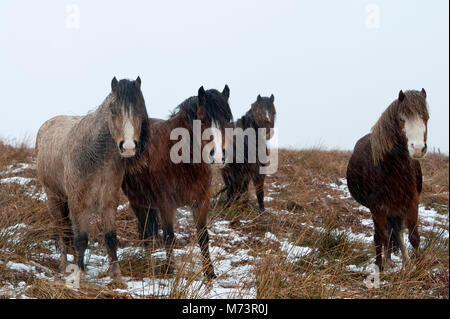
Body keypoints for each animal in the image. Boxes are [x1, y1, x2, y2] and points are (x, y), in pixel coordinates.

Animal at [36, 76, 149, 286]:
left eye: (140, 109)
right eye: (113, 110)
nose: (129, 147)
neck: (96, 156)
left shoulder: (109, 202)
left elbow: (110, 238)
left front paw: (116, 276)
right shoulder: (78, 202)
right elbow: (81, 239)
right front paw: (79, 275)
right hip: (53, 197)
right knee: (62, 230)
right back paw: (64, 265)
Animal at [122, 85, 232, 280]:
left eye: (228, 119)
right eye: (203, 119)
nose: (219, 156)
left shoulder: (201, 203)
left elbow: (203, 238)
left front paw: (210, 274)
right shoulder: (166, 205)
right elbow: (169, 237)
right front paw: (169, 271)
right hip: (136, 201)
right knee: (145, 232)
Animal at [348, 89, 428, 272]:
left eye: (425, 117)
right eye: (401, 119)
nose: (418, 148)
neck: (393, 168)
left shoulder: (412, 201)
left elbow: (414, 236)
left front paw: (420, 268)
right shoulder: (377, 206)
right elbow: (379, 237)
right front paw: (380, 267)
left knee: (396, 231)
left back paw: (404, 260)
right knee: (388, 234)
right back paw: (389, 261)